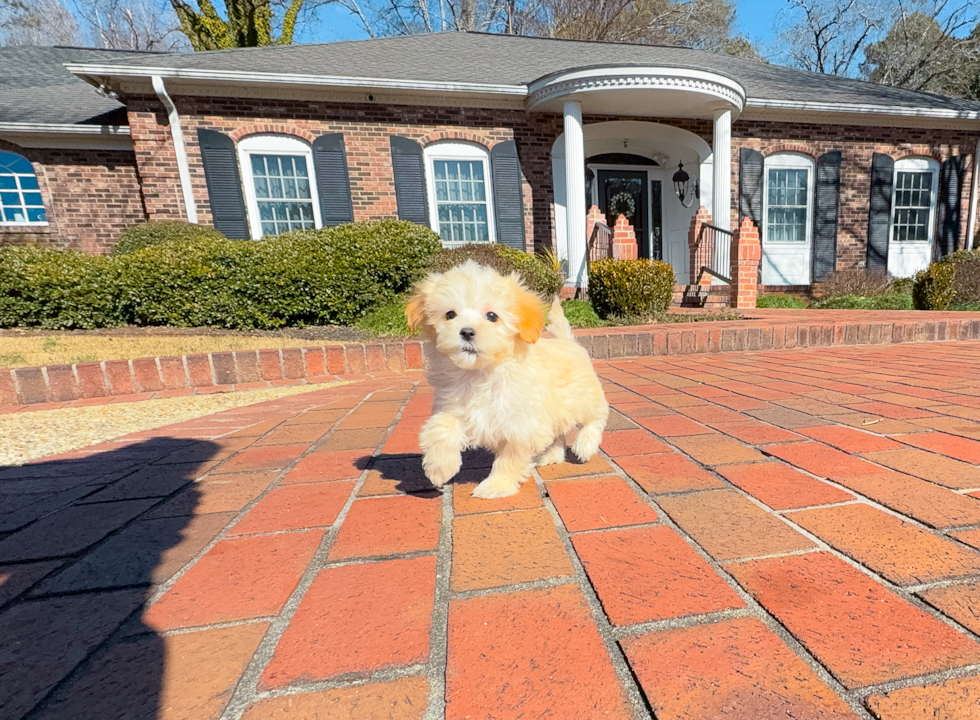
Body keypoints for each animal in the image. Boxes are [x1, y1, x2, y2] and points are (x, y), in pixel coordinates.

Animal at [404, 260, 604, 500]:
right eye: (450, 314)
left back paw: (585, 445)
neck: (480, 373)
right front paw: (439, 468)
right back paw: (553, 455)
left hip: (585, 398)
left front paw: (496, 485)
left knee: (597, 417)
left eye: (492, 316)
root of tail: (567, 341)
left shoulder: (521, 427)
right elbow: (440, 428)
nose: (466, 332)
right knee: (558, 433)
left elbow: (510, 460)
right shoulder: (453, 407)